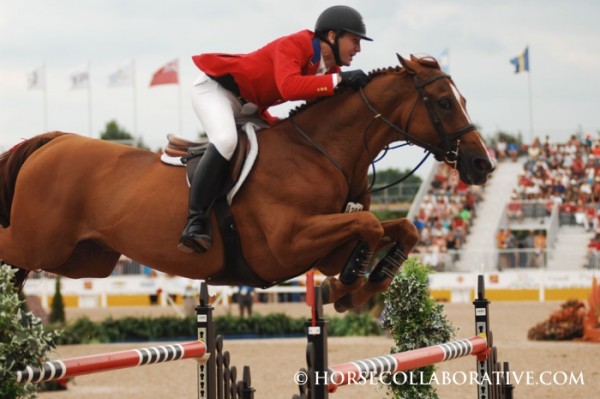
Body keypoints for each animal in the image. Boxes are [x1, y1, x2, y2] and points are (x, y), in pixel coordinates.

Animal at [0, 55, 494, 312]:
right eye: (445, 102)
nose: (482, 164)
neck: (320, 152)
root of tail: (51, 141)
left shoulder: (324, 247)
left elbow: (396, 228)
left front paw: (357, 289)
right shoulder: (287, 243)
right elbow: (370, 225)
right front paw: (349, 286)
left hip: (84, 259)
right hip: (39, 246)